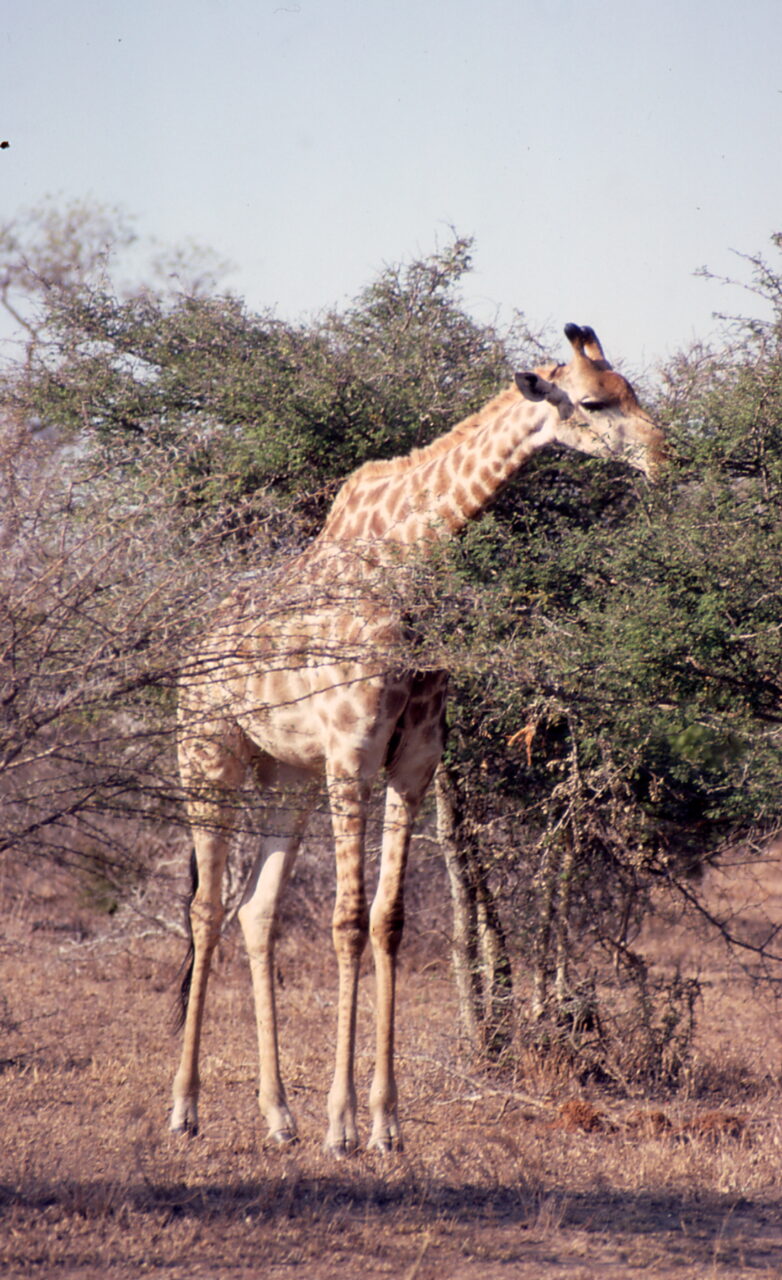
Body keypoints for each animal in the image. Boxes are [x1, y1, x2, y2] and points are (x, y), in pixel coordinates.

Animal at [170, 323, 664, 1154]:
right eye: (596, 402)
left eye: (633, 389)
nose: (665, 456)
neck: (407, 562)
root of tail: (190, 646)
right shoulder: (352, 757)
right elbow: (345, 922)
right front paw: (343, 1123)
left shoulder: (412, 764)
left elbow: (388, 922)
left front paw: (384, 1122)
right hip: (208, 756)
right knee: (207, 909)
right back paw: (186, 1109)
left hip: (288, 778)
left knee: (256, 911)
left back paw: (278, 1116)